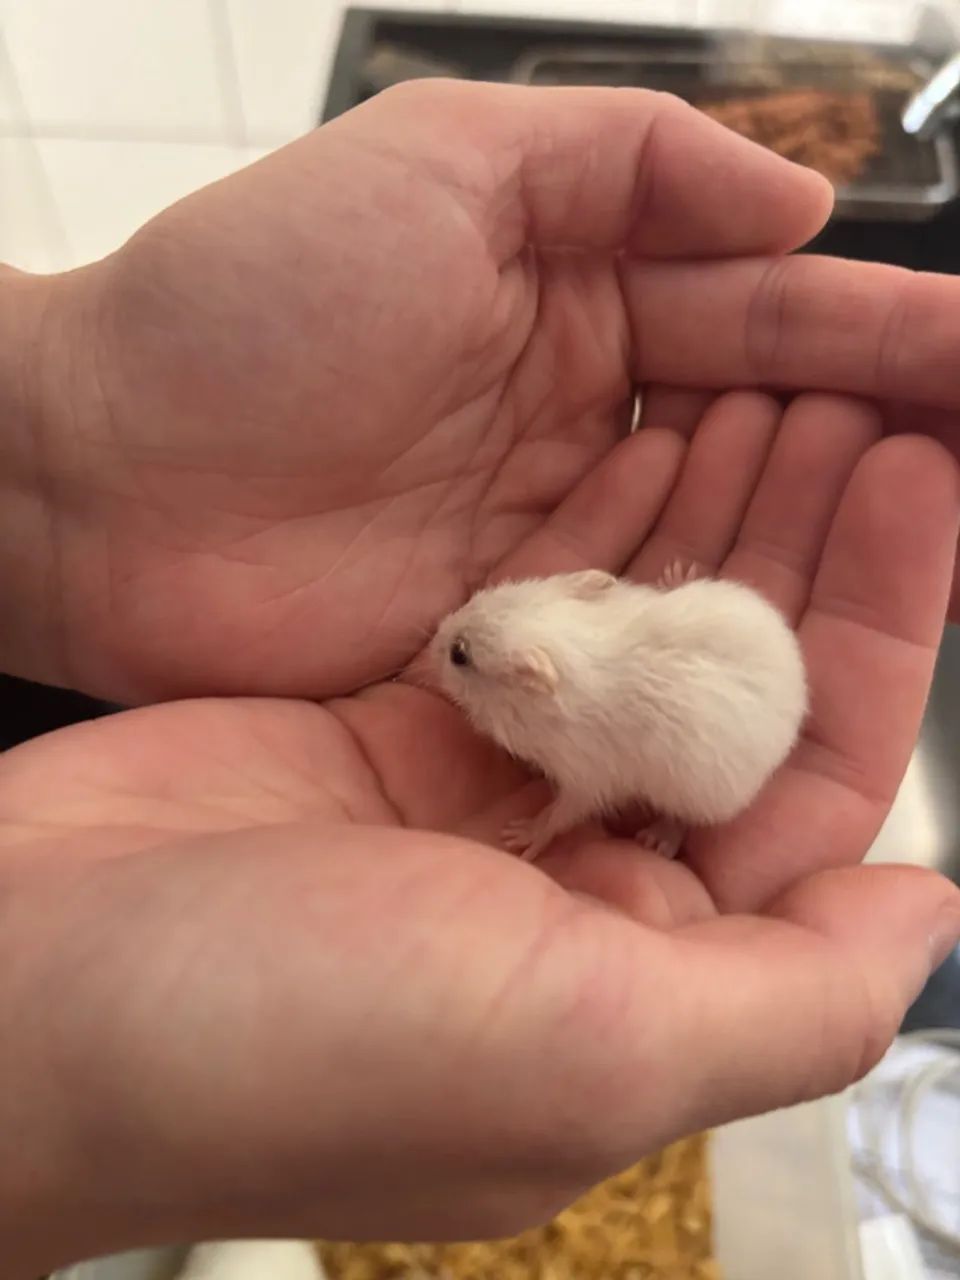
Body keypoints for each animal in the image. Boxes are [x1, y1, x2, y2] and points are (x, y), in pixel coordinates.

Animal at [429, 564, 807, 860]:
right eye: (477, 598)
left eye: (459, 654)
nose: (434, 635)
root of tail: (799, 686)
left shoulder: (586, 778)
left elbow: (560, 814)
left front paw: (522, 836)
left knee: (684, 820)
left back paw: (658, 839)